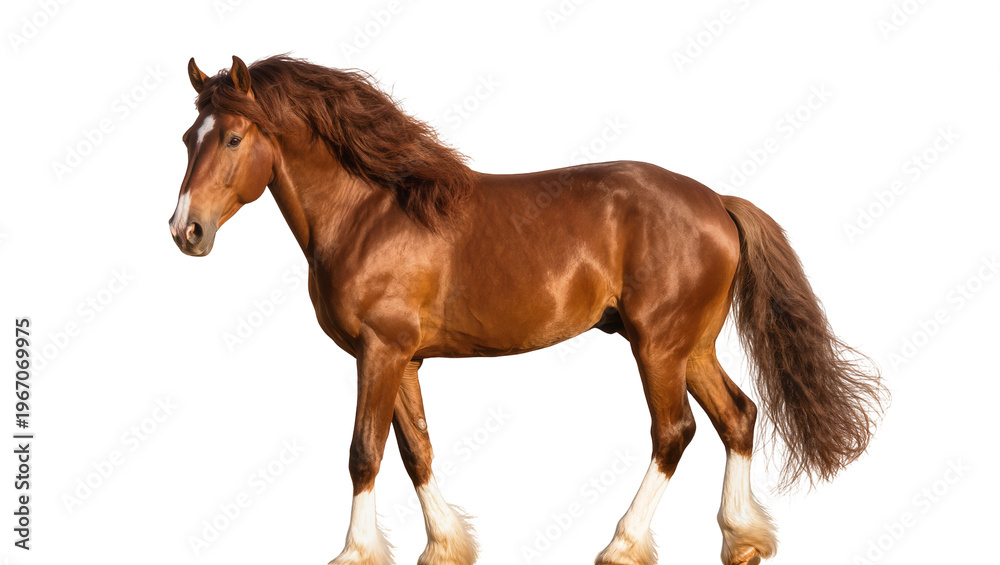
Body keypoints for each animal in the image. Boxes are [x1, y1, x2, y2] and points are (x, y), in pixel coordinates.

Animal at [169, 55, 884, 565]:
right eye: (185, 138)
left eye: (232, 138)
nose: (186, 230)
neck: (368, 213)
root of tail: (717, 201)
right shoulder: (406, 359)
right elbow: (417, 450)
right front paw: (446, 547)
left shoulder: (380, 350)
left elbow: (364, 453)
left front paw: (355, 553)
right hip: (692, 346)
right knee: (738, 416)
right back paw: (741, 541)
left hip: (656, 346)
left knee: (674, 432)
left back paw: (622, 546)